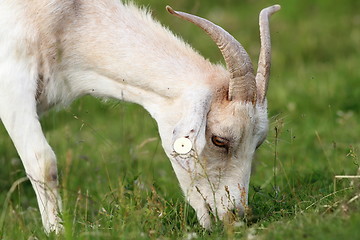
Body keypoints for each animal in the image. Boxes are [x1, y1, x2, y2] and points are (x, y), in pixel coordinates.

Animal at [0, 0, 282, 232]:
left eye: (257, 144)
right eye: (219, 140)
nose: (236, 216)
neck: (67, 18)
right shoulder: (12, 82)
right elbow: (43, 163)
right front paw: (56, 232)